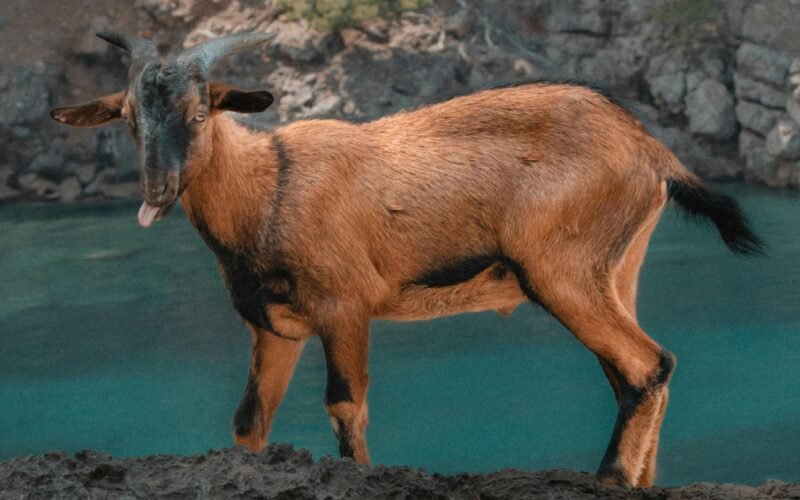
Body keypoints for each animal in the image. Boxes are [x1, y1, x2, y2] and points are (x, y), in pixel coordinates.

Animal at [51, 32, 764, 488]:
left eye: (200, 113)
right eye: (128, 119)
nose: (157, 191)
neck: (268, 187)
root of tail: (651, 150)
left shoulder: (345, 307)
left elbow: (345, 406)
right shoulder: (274, 328)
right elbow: (249, 424)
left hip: (562, 269)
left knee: (648, 364)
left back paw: (610, 478)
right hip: (618, 269)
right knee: (636, 373)